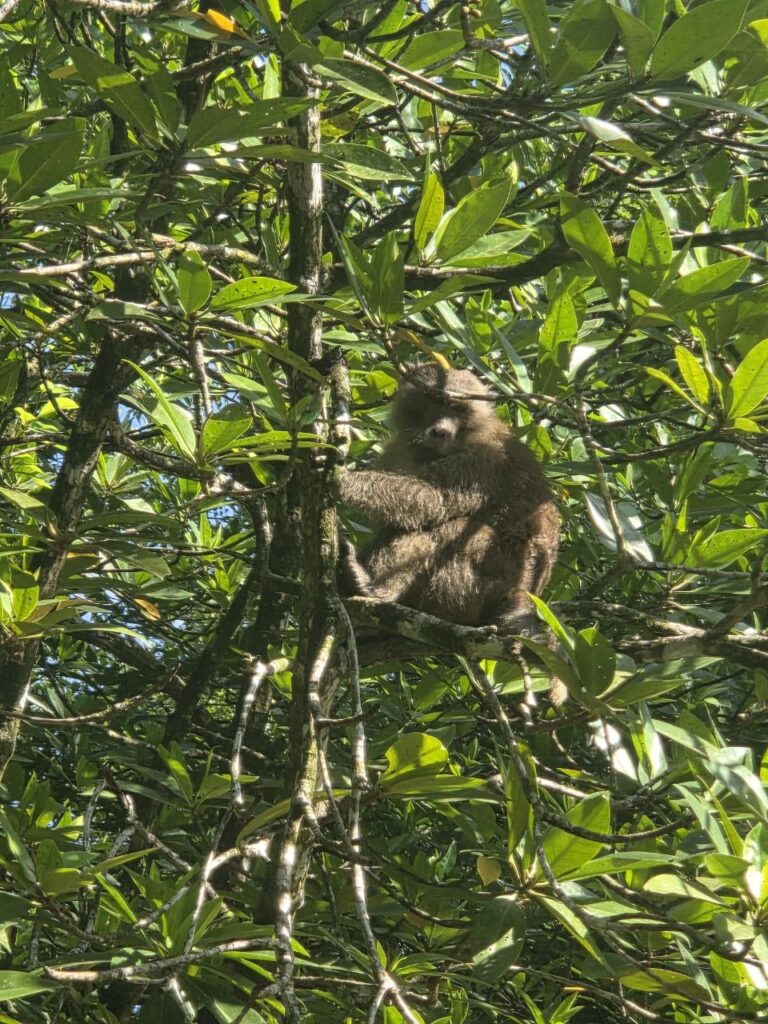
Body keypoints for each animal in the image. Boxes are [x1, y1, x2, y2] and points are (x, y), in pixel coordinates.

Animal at [336, 364, 565, 703]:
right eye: (437, 401)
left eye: (459, 408)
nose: (441, 431)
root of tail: (525, 592)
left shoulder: (483, 460)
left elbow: (433, 501)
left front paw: (339, 481)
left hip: (479, 582)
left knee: (444, 531)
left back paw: (373, 590)